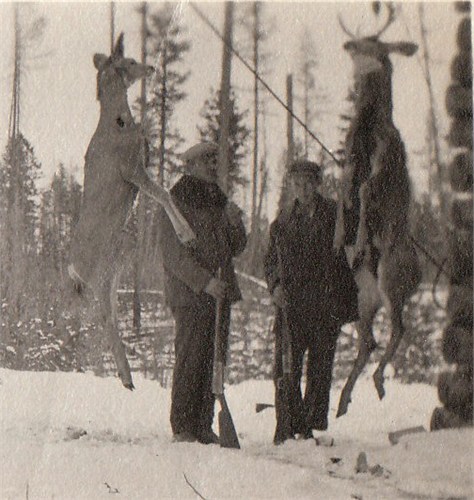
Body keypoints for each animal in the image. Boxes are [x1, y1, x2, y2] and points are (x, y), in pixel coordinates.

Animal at [65, 34, 194, 390]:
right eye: (131, 61)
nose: (151, 67)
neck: (121, 122)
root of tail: (72, 269)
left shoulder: (139, 166)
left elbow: (162, 192)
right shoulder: (131, 169)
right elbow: (163, 193)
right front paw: (187, 234)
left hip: (112, 270)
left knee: (99, 320)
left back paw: (121, 376)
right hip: (103, 273)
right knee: (104, 319)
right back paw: (123, 377)